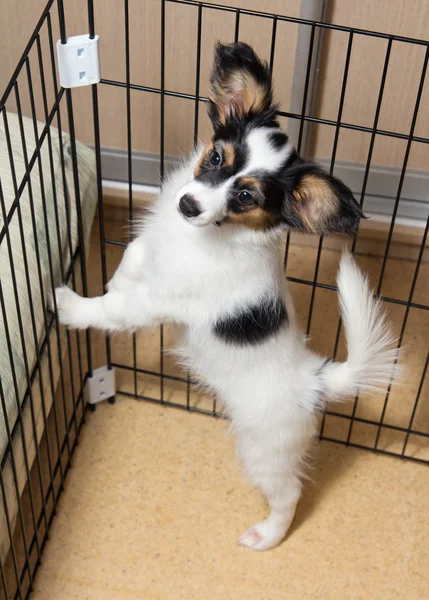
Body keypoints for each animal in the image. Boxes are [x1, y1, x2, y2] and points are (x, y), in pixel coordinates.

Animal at [53, 42, 398, 552]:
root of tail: (317, 379)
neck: (205, 235)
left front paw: (70, 305)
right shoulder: (155, 246)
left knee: (289, 494)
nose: (188, 205)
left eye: (246, 198)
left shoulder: (160, 300)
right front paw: (115, 278)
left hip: (265, 448)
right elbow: (133, 256)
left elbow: (113, 309)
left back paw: (267, 536)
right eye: (216, 157)